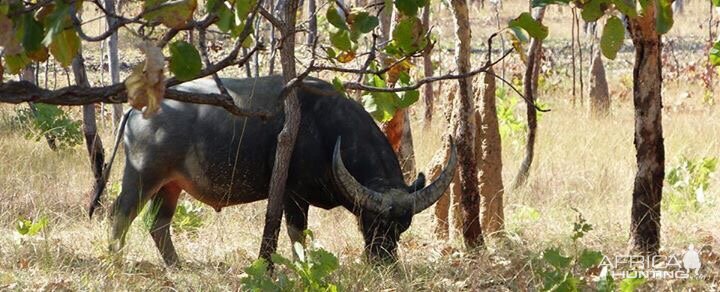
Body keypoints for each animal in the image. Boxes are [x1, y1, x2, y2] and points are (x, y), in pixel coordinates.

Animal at [101, 75, 456, 264]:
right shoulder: (292, 195)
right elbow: (297, 233)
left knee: (158, 224)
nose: (384, 261)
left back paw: (176, 265)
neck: (327, 131)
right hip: (142, 176)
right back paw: (115, 259)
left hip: (170, 186)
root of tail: (139, 108)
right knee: (121, 214)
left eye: (402, 227)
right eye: (370, 221)